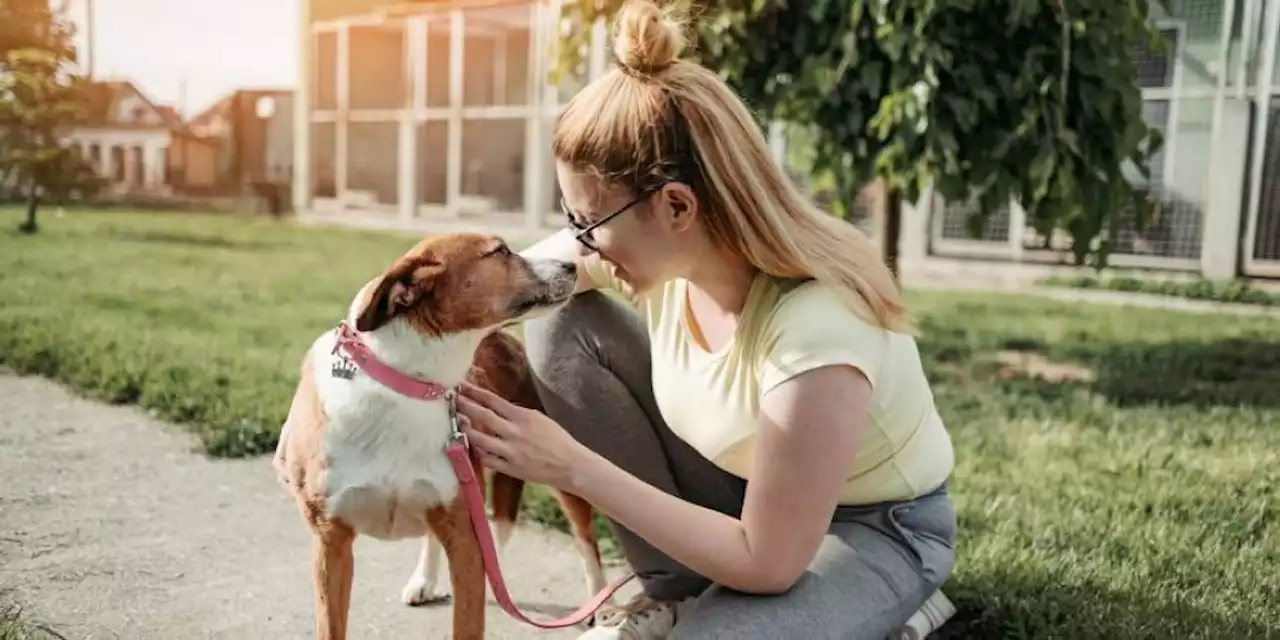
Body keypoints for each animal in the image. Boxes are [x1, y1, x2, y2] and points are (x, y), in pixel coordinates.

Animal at [275, 235, 604, 640]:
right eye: (500, 252)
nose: (572, 265)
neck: (409, 384)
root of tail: (503, 340)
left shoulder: (466, 540)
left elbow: (467, 622)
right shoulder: (331, 543)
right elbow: (331, 625)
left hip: (562, 472)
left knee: (586, 538)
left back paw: (598, 607)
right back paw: (425, 581)